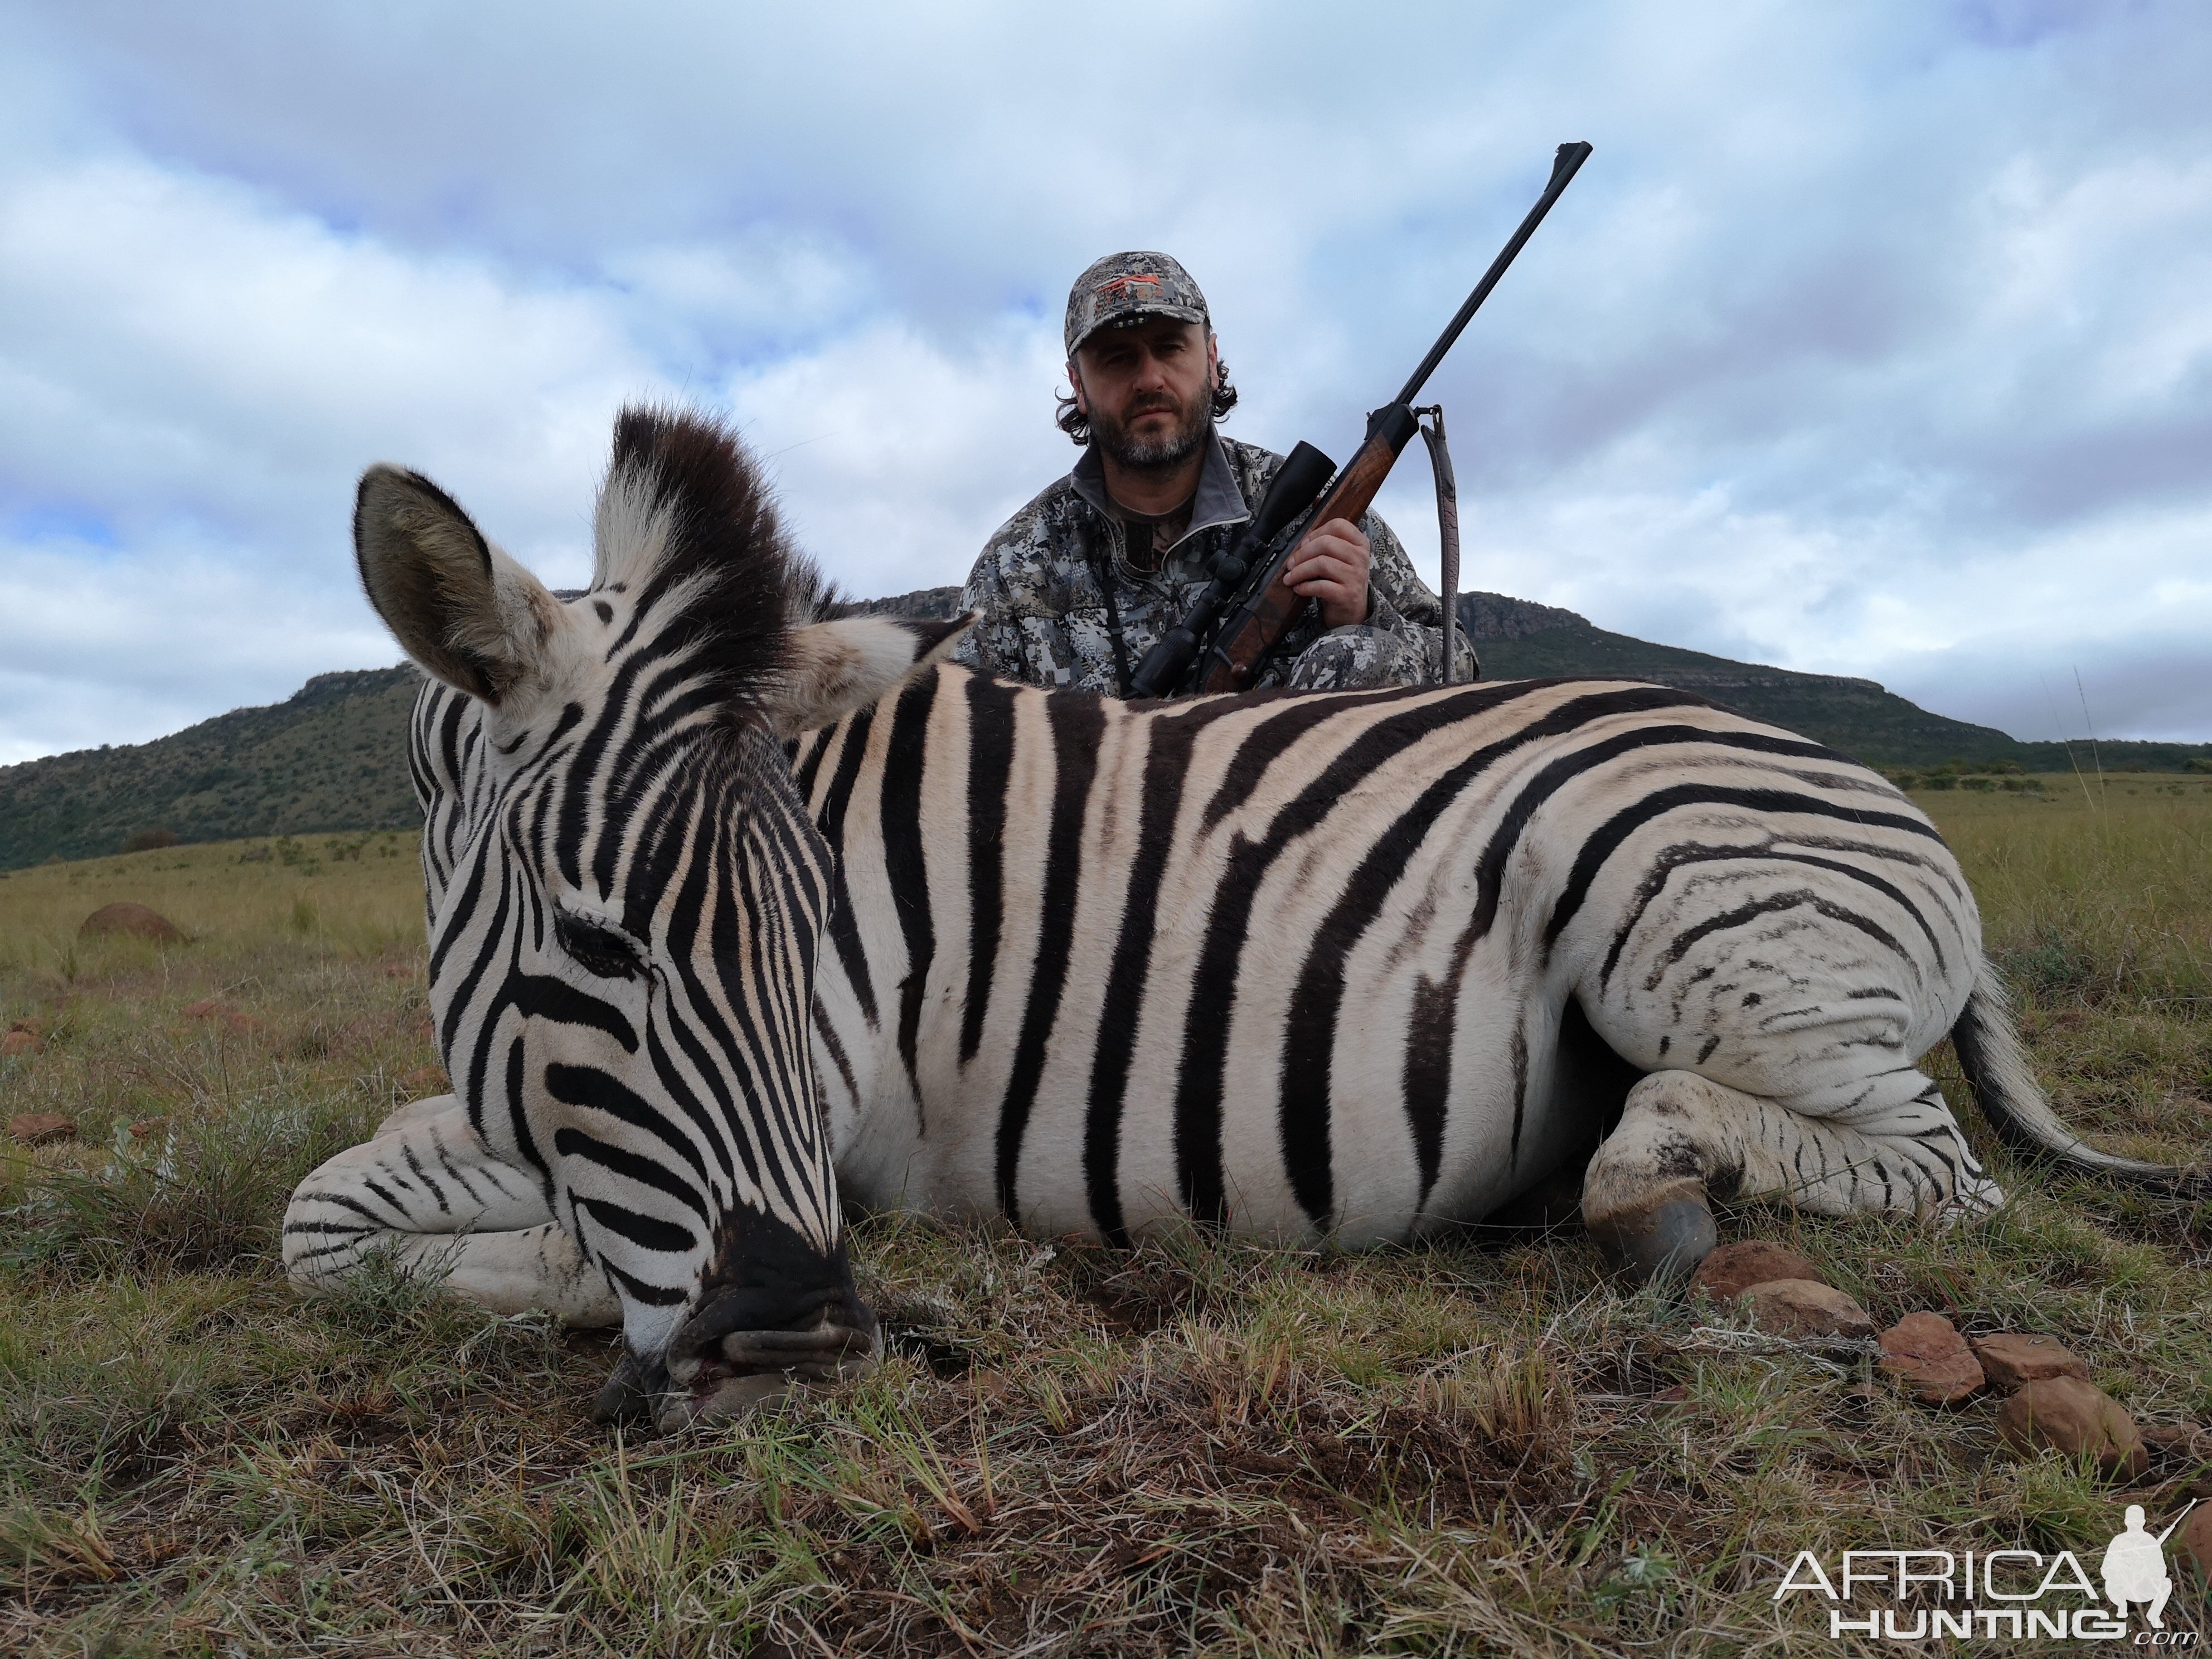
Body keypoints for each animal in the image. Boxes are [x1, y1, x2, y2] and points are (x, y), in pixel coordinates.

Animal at [285, 402, 2203, 1433]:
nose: (802, 1336)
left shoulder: (824, 1118)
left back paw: (1651, 1186)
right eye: (592, 948)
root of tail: (1901, 816)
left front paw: (544, 1271)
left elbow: (353, 1218)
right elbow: (329, 1208)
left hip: (1687, 913)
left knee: (1913, 1163)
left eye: (815, 940)